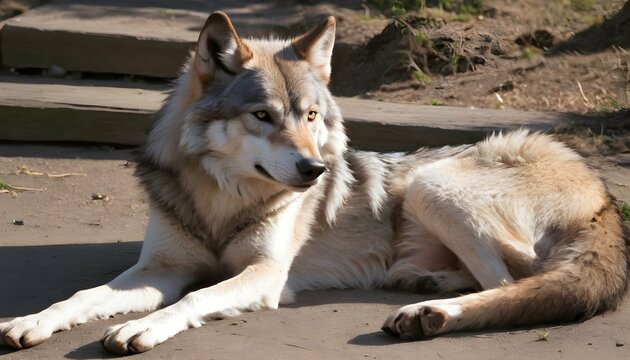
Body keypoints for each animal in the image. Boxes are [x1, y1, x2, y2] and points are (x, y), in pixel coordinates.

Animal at [1, 10, 630, 354]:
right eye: (262, 116)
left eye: (309, 116)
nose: (316, 170)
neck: (221, 199)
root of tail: (600, 188)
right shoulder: (161, 268)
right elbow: (83, 297)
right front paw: (31, 322)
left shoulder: (263, 275)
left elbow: (197, 297)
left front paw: (142, 329)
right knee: (497, 281)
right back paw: (422, 284)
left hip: (430, 184)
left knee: (514, 285)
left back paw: (428, 314)